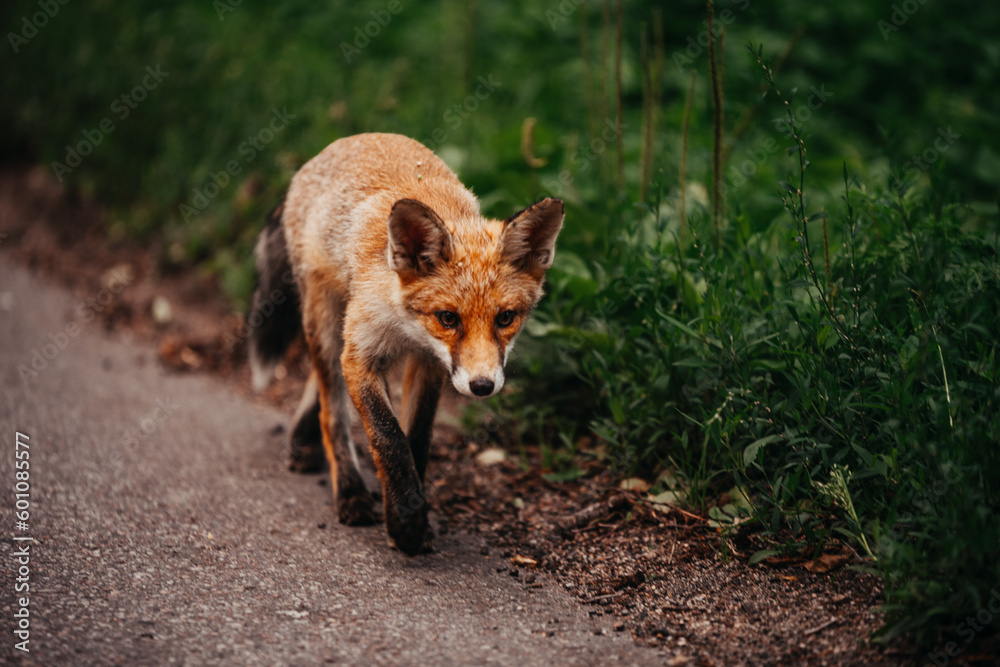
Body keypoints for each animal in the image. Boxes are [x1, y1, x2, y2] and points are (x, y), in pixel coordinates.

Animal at [247, 133, 568, 556]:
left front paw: (414, 516)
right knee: (331, 410)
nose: (482, 386)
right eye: (448, 318)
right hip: (324, 318)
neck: (406, 327)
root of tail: (340, 143)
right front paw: (403, 523)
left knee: (321, 386)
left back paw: (304, 441)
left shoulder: (430, 363)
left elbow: (416, 440)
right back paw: (348, 490)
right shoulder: (362, 356)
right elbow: (389, 438)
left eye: (505, 318)